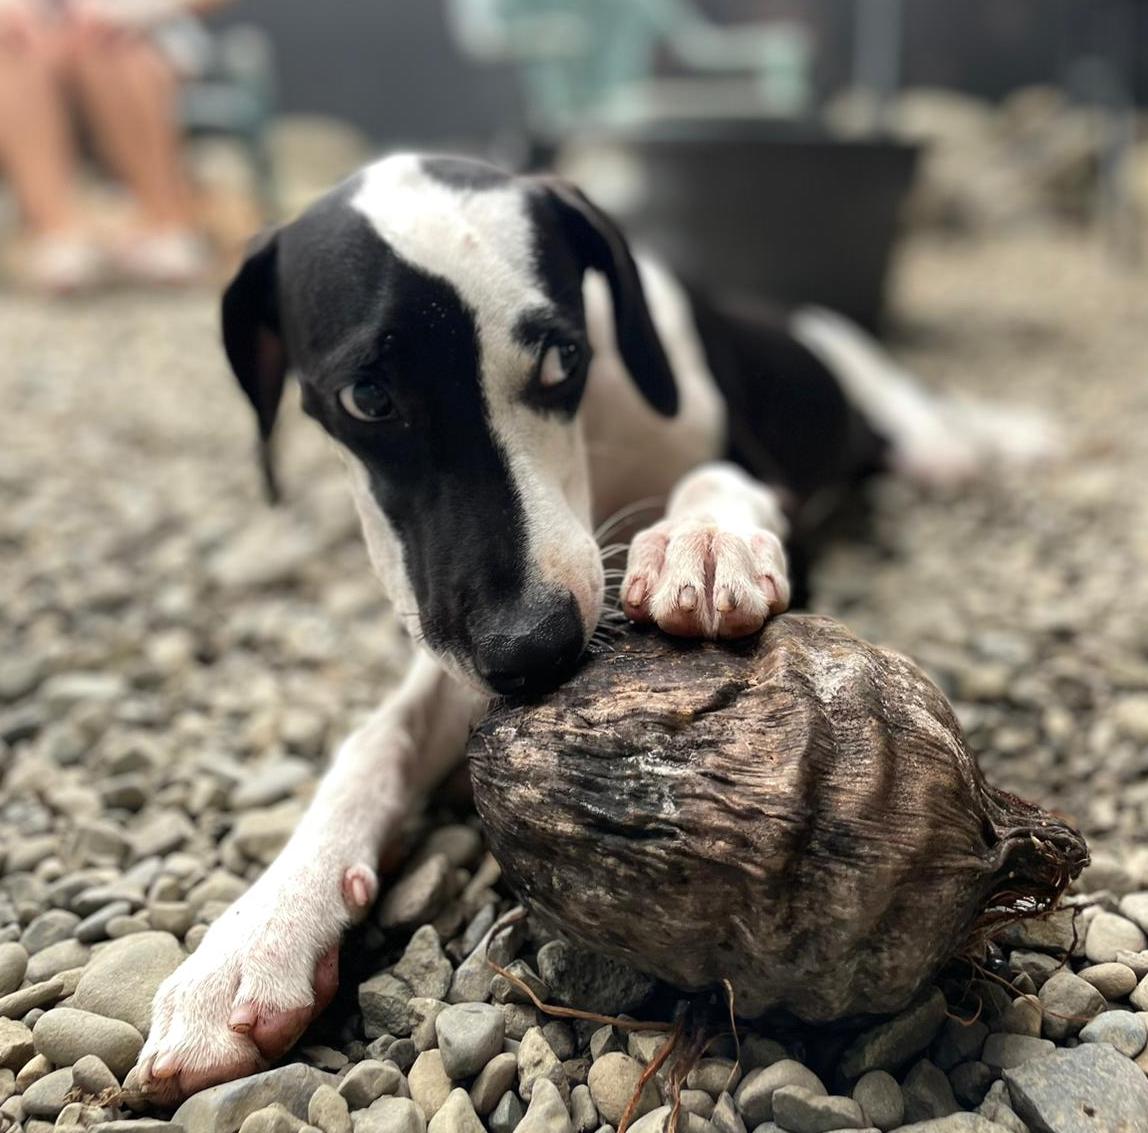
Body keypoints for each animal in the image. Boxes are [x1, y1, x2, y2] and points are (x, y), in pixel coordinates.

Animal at [136, 150, 1051, 1097]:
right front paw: (259, 929)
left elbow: (720, 477)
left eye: (560, 359)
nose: (533, 649)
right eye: (366, 398)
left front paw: (704, 536)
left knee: (932, 425)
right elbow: (377, 738)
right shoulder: (456, 632)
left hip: (885, 401)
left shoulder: (755, 477)